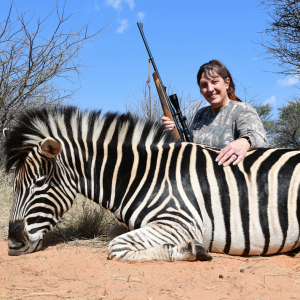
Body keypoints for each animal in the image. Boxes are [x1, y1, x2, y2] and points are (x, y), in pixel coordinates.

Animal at [3, 106, 300, 262]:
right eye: (15, 185)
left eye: (40, 182)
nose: (13, 243)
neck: (148, 175)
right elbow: (114, 234)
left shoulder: (180, 222)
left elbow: (117, 247)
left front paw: (190, 250)